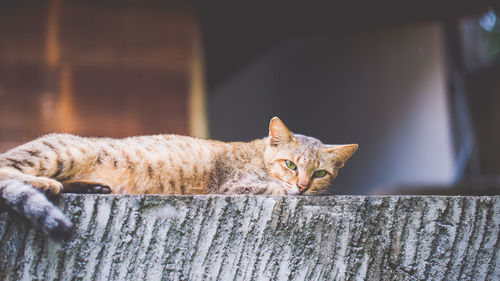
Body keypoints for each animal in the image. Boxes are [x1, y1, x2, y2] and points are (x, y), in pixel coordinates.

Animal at [0, 116, 360, 238]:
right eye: (290, 165)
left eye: (320, 173)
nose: (303, 185)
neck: (259, 153)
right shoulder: (236, 184)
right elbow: (275, 189)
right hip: (63, 152)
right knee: (6, 169)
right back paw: (46, 184)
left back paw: (93, 187)